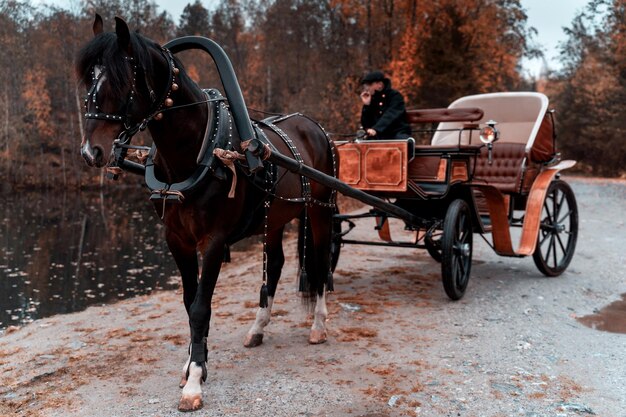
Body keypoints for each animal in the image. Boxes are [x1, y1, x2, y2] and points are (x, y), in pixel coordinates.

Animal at [77, 14, 336, 412]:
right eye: (89, 79)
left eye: (121, 80)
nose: (91, 152)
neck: (196, 152)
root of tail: (312, 124)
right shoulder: (177, 240)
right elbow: (189, 302)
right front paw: (192, 363)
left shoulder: (213, 241)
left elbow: (201, 307)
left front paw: (195, 381)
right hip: (274, 218)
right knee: (276, 264)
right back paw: (258, 327)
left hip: (319, 212)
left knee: (320, 263)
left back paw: (319, 326)